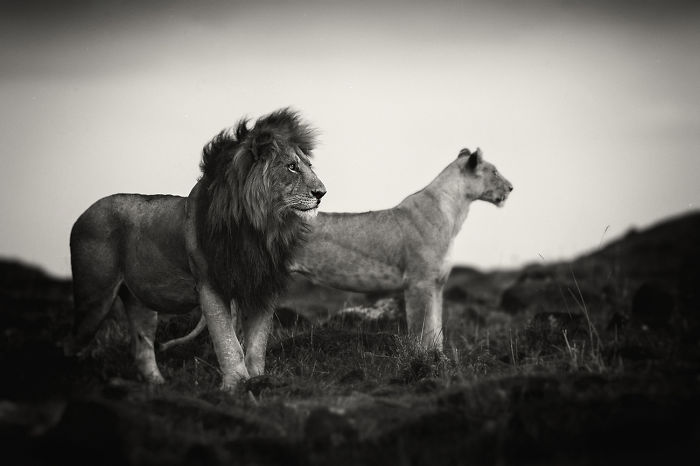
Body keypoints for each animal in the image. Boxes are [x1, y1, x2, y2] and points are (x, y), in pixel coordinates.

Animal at [66, 108, 326, 390]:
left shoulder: (262, 287)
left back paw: (159, 387)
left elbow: (257, 345)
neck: (261, 228)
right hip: (95, 298)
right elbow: (228, 342)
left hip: (139, 302)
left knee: (142, 346)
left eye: (309, 165)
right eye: (292, 167)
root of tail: (82, 214)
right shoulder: (210, 286)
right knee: (71, 342)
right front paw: (235, 386)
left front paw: (259, 381)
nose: (322, 192)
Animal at [163, 147, 511, 352]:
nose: (511, 187)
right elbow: (422, 329)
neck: (455, 212)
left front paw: (439, 359)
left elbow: (436, 326)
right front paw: (424, 361)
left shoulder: (436, 284)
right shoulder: (419, 283)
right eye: (493, 171)